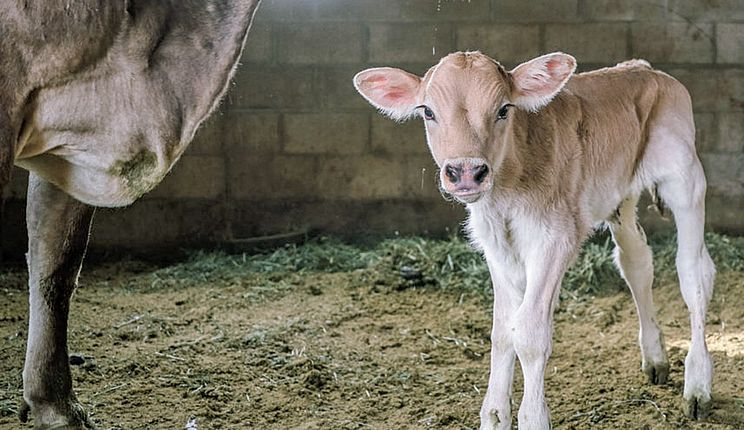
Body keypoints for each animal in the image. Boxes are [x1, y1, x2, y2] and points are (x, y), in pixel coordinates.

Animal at [354, 52, 716, 428]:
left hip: (685, 179)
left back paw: (698, 387)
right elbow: (502, 331)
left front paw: (532, 417)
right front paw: (494, 416)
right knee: (636, 263)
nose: (466, 172)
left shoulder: (555, 239)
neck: (508, 190)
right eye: (427, 111)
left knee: (694, 273)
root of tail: (644, 68)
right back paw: (656, 359)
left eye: (503, 109)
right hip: (622, 195)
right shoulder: (495, 245)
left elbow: (528, 333)